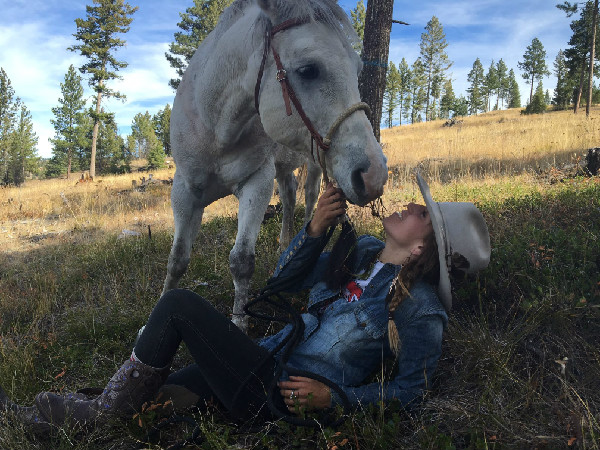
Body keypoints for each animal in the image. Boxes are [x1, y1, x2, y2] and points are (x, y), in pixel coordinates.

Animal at [164, 0, 390, 330]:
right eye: (308, 70)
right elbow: (178, 258)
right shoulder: (184, 190)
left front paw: (239, 324)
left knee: (308, 197)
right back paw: (286, 244)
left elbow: (241, 261)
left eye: (357, 69)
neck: (215, 126)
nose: (374, 174)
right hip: (282, 168)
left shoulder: (256, 182)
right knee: (289, 195)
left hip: (313, 164)